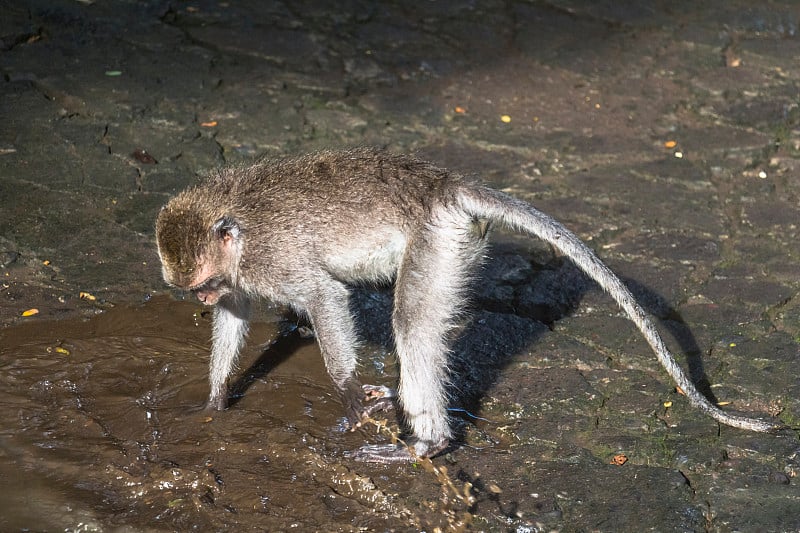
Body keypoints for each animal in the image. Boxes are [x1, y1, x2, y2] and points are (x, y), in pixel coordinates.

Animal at [155, 145, 780, 462]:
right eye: (197, 290)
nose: (201, 296)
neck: (235, 225)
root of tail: (443, 186)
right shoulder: (242, 279)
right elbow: (235, 317)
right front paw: (214, 399)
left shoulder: (273, 262)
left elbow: (323, 295)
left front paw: (352, 394)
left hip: (438, 242)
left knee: (411, 324)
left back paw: (425, 445)